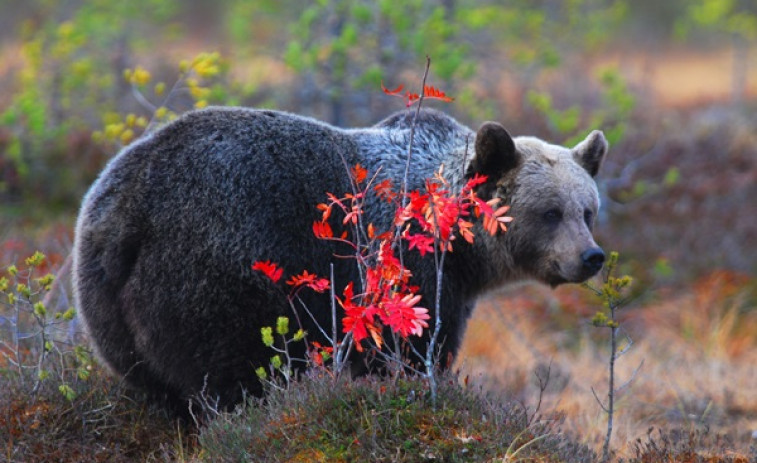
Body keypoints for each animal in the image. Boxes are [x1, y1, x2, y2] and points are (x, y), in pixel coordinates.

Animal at [72, 108, 608, 410]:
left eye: (587, 210)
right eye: (550, 212)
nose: (591, 256)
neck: (459, 249)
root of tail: (126, 212)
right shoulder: (406, 270)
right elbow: (407, 350)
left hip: (106, 302)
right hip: (213, 275)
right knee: (231, 375)